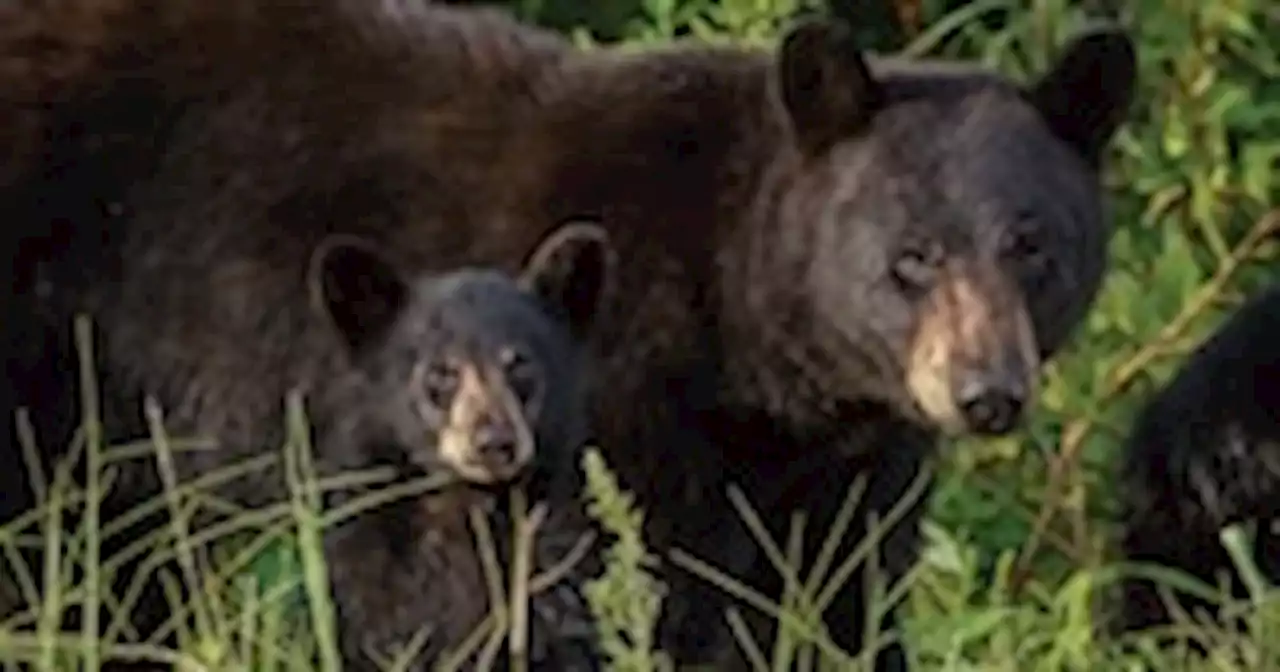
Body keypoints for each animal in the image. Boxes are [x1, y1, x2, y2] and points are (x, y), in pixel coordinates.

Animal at [0, 1, 1136, 665]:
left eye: (1032, 244)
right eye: (911, 256)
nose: (985, 391)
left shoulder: (835, 465)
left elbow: (835, 599)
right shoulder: (605, 407)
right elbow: (569, 591)